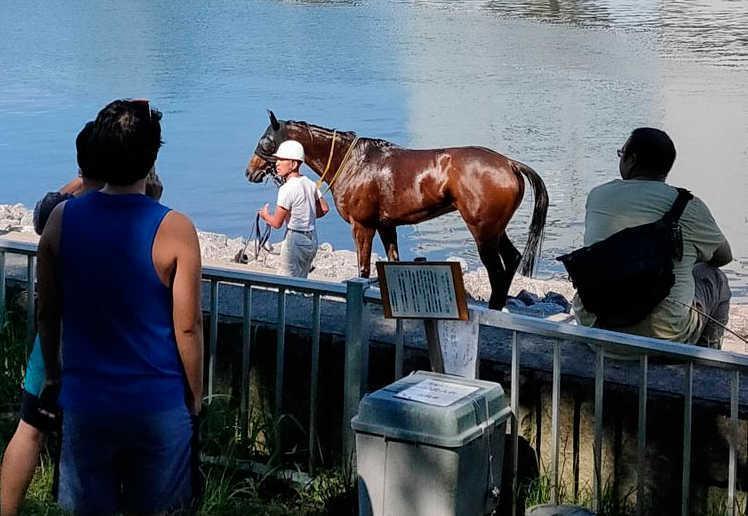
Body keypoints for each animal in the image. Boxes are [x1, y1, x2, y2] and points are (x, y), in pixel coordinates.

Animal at [245, 111, 549, 310]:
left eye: (265, 141)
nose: (250, 171)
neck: (355, 162)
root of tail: (510, 163)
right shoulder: (386, 226)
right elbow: (390, 263)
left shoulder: (363, 226)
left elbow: (363, 269)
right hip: (496, 229)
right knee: (511, 260)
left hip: (482, 230)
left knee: (496, 271)